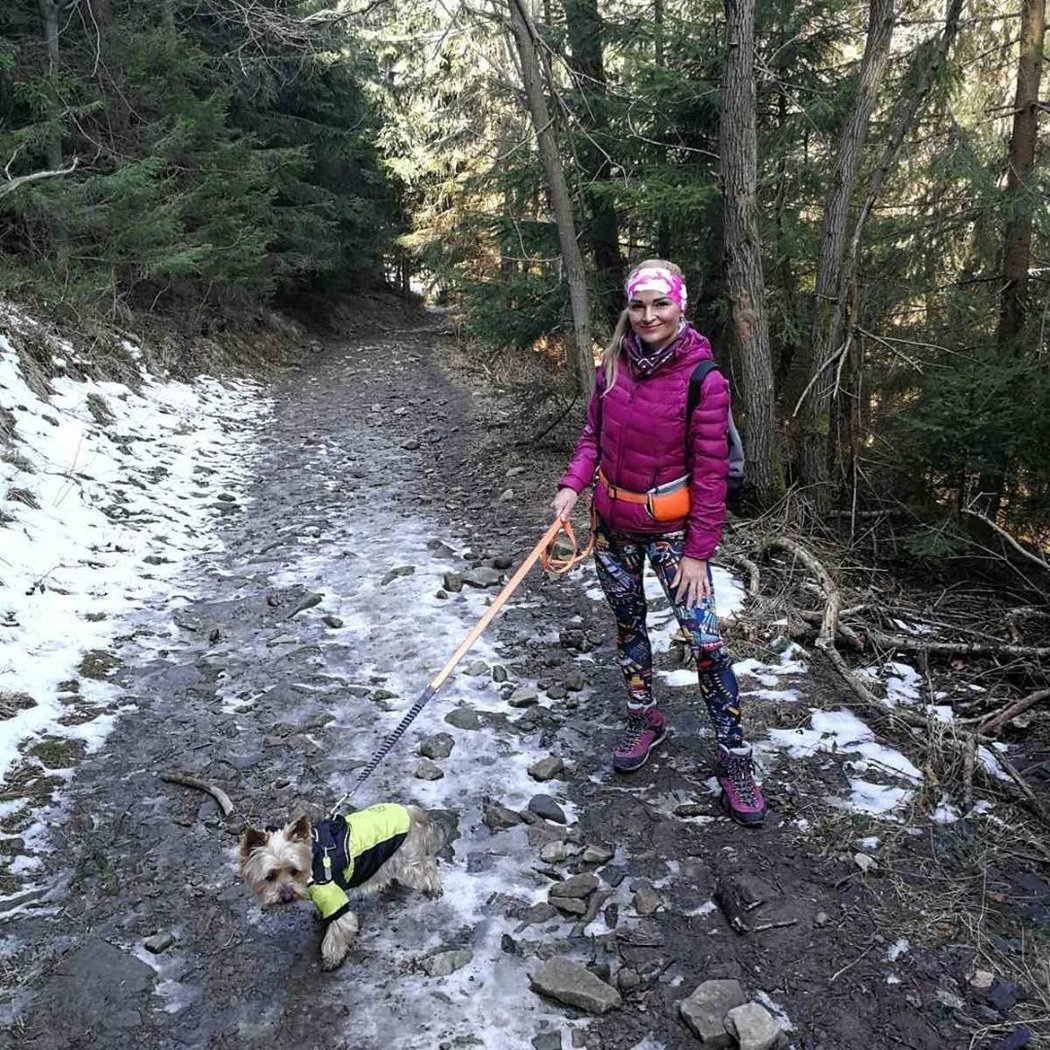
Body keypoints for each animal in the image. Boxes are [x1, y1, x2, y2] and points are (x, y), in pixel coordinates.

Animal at [240, 802, 443, 965]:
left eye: (294, 871)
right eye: (270, 877)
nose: (287, 897)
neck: (312, 859)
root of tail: (411, 811)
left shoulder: (332, 895)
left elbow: (338, 929)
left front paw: (331, 959)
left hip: (407, 859)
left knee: (427, 869)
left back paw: (433, 888)